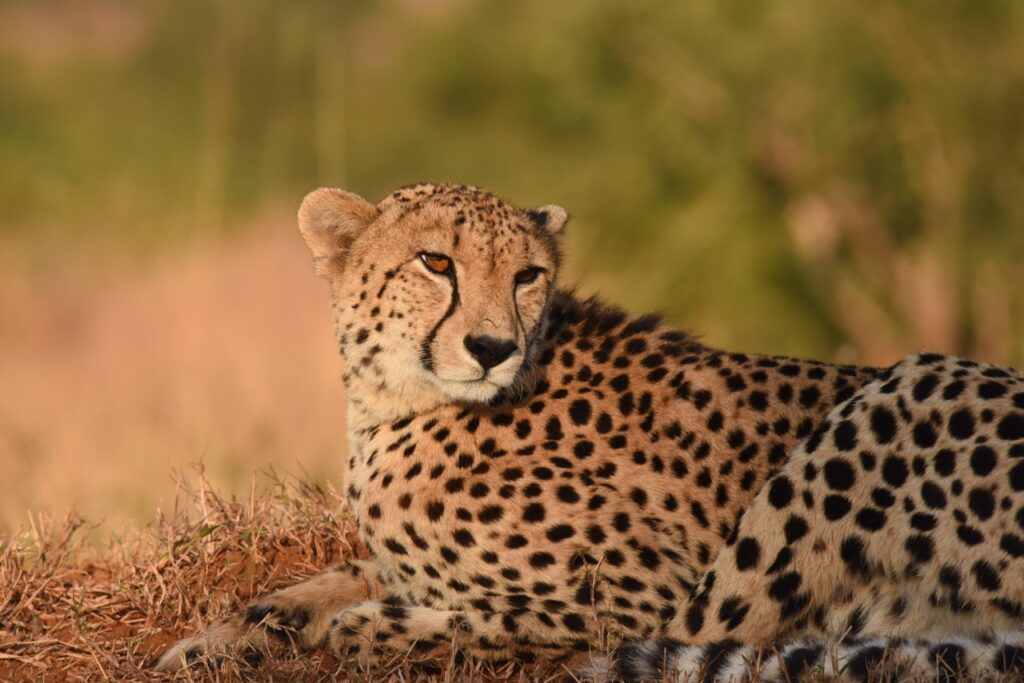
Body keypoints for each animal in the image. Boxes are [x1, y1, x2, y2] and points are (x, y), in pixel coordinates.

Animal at [156, 183, 1024, 681]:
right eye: (435, 262)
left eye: (527, 275)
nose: (491, 347)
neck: (396, 402)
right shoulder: (403, 560)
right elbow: (316, 583)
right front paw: (211, 642)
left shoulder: (644, 585)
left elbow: (527, 616)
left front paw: (374, 625)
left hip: (911, 387)